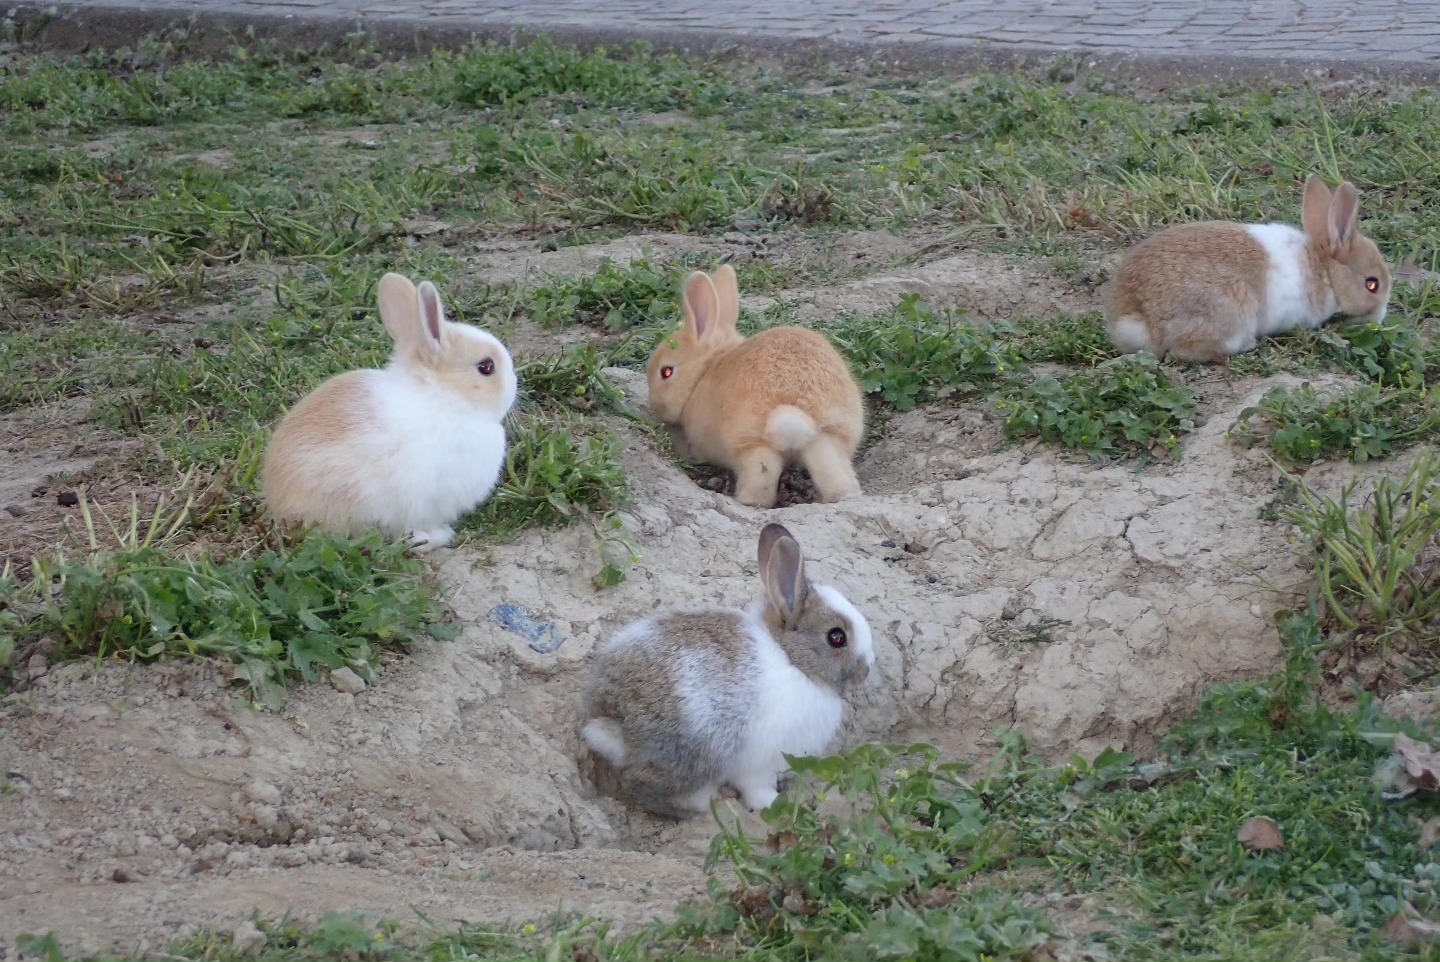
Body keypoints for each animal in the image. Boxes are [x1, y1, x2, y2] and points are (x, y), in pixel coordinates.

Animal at [580, 522, 876, 819]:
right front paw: (771, 804)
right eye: (836, 638)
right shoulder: (762, 763)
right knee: (642, 783)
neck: (792, 659)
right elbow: (757, 789)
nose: (867, 669)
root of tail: (611, 721)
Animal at [646, 264, 865, 508]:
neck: (705, 370)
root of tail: (795, 408)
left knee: (760, 481)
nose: (655, 406)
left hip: (752, 446)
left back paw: (745, 502)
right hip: (826, 439)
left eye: (666, 372)